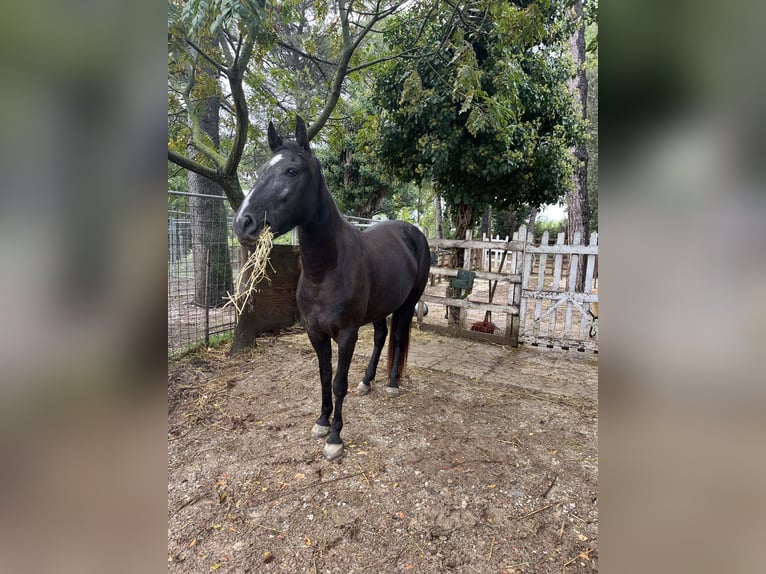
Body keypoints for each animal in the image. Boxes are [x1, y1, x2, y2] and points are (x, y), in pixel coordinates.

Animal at [231, 119, 436, 462]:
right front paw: (322, 422)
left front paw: (335, 438)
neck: (325, 272)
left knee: (398, 336)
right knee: (381, 336)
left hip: (407, 304)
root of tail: (413, 232)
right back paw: (367, 381)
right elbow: (324, 376)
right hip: (380, 306)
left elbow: (339, 382)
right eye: (260, 170)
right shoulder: (316, 333)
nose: (243, 224)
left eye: (291, 170)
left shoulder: (347, 334)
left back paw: (393, 384)